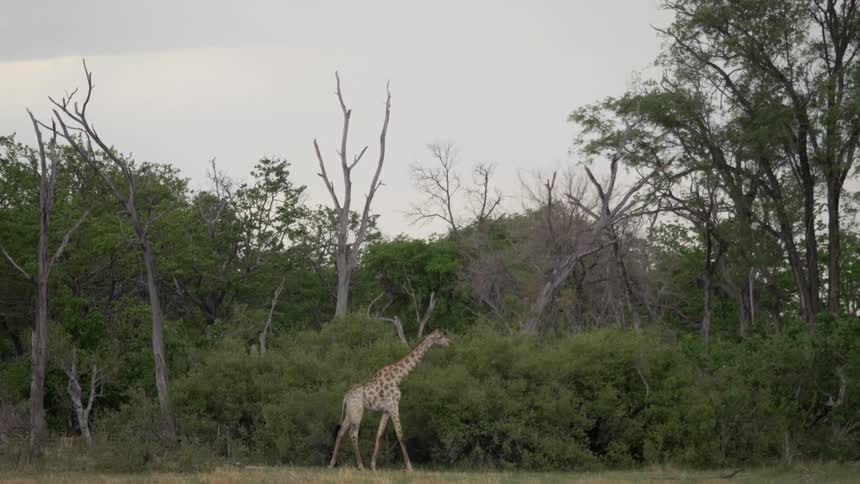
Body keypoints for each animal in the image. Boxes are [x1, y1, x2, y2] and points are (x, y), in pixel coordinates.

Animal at [329, 328, 450, 471]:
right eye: (440, 336)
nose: (449, 343)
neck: (398, 378)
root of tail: (346, 397)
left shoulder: (386, 410)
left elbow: (379, 435)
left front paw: (373, 466)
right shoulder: (394, 405)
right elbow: (400, 434)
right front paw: (410, 467)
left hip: (350, 413)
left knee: (341, 432)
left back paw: (331, 464)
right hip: (358, 412)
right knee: (353, 434)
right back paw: (360, 466)